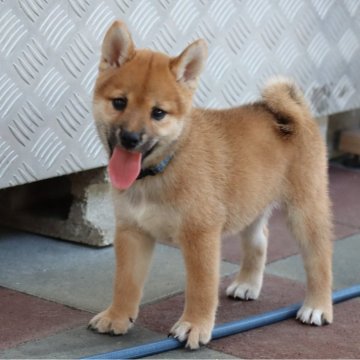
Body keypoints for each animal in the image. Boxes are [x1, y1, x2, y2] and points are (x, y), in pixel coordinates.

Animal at [88, 20, 334, 348]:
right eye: (119, 102)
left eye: (158, 113)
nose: (130, 138)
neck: (162, 169)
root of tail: (298, 114)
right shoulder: (132, 231)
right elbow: (125, 282)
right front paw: (117, 316)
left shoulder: (200, 234)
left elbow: (201, 288)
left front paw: (194, 325)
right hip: (251, 203)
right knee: (260, 240)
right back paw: (247, 284)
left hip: (305, 211)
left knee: (319, 258)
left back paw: (318, 306)